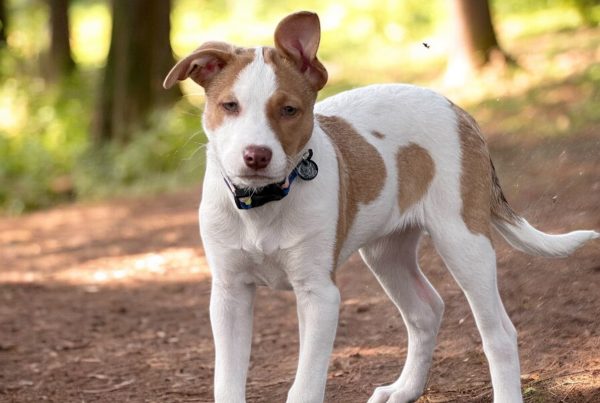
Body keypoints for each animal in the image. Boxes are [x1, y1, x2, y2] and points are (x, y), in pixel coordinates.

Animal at [163, 11, 599, 403]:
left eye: (288, 110)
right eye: (229, 106)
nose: (256, 155)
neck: (262, 203)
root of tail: (457, 110)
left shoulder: (319, 294)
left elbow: (305, 387)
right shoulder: (229, 294)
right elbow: (227, 383)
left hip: (464, 242)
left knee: (499, 334)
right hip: (386, 252)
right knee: (426, 312)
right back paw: (404, 390)